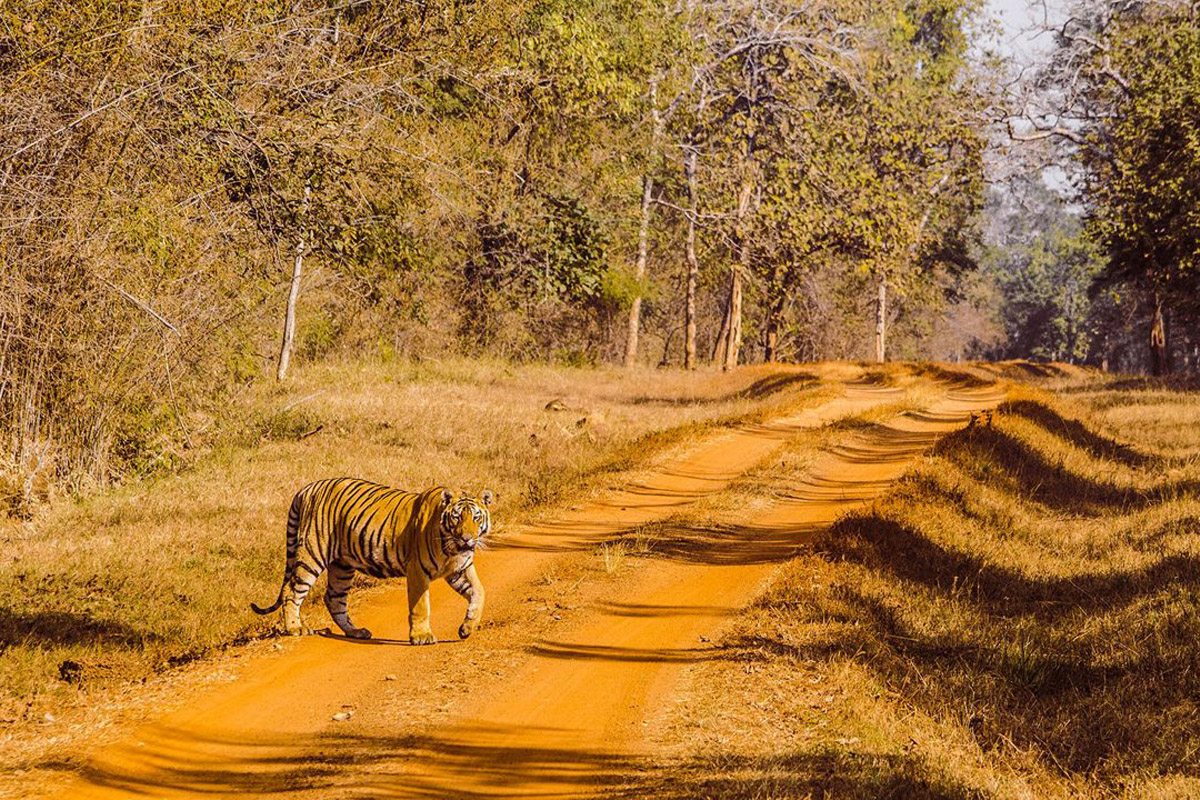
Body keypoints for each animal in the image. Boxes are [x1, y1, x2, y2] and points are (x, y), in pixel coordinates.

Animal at [251, 478, 492, 645]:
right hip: (312, 554)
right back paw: (295, 628)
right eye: (457, 517)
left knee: (333, 598)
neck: (453, 549)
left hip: (342, 566)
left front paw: (468, 627)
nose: (467, 538)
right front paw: (422, 636)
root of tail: (307, 488)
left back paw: (355, 632)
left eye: (476, 517)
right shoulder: (417, 570)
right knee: (291, 591)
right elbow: (420, 606)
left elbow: (479, 592)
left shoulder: (460, 569)